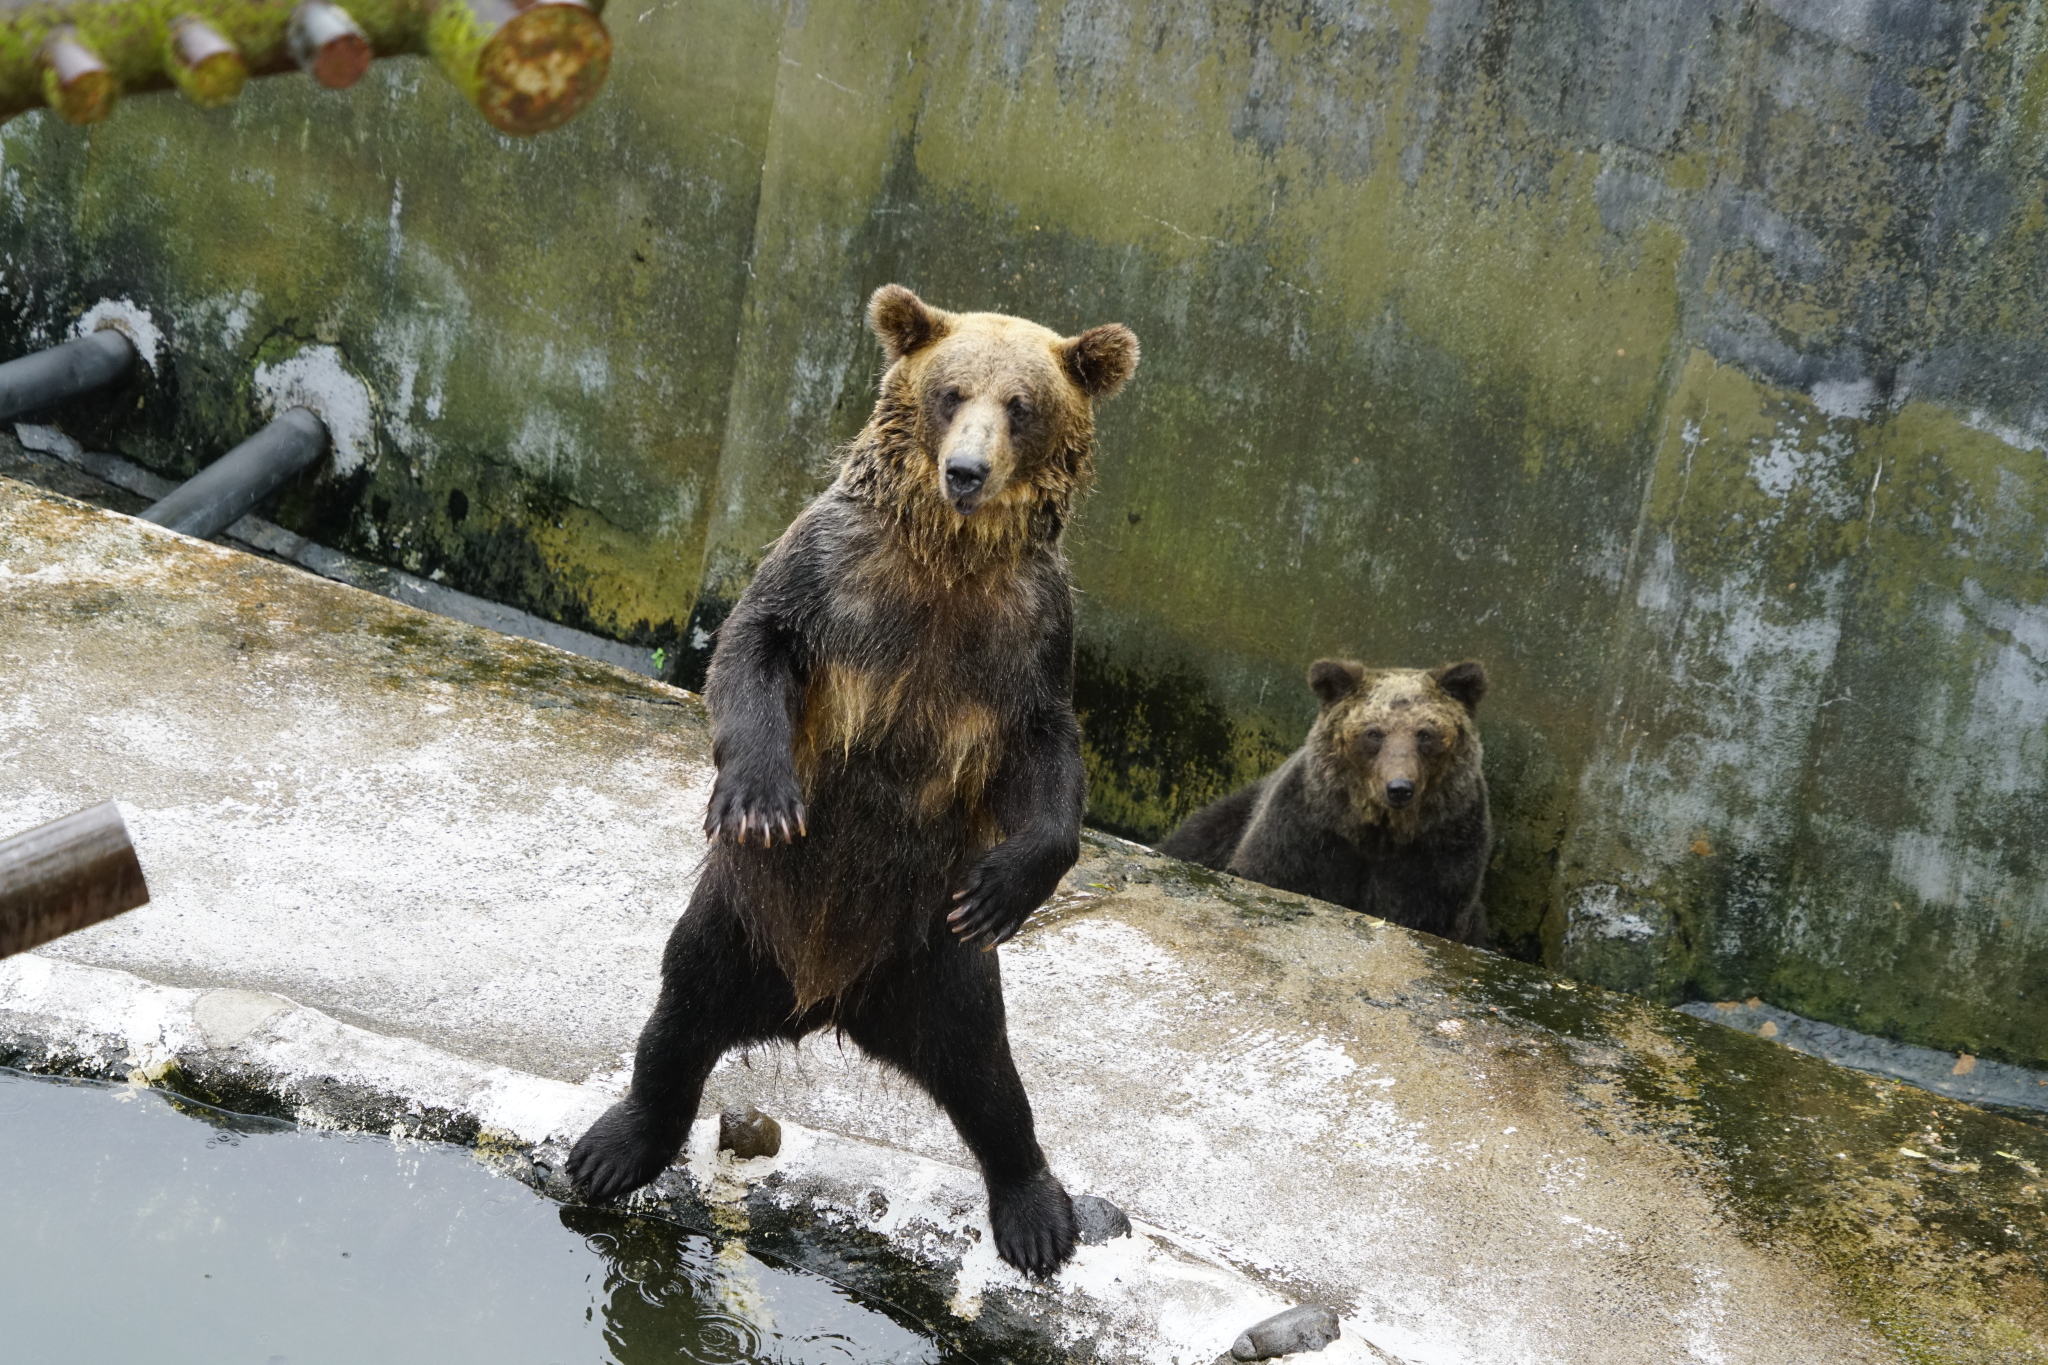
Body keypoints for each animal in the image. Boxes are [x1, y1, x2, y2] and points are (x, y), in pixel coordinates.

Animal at [565, 282, 1138, 1277]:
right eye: (950, 392)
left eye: (1020, 405)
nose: (966, 472)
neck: (947, 559)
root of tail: (824, 1002)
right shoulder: (832, 574)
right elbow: (752, 645)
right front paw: (762, 797)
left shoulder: (1030, 633)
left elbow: (1050, 752)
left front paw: (1009, 881)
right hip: (742, 918)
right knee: (680, 1011)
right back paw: (615, 1145)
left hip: (936, 958)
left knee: (988, 1077)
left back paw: (1036, 1211)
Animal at [1171, 654, 1490, 945]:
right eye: (1373, 733)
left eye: (1425, 734)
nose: (1399, 787)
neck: (1376, 832)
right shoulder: (1306, 831)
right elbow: (1269, 870)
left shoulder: (1440, 851)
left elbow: (1429, 909)